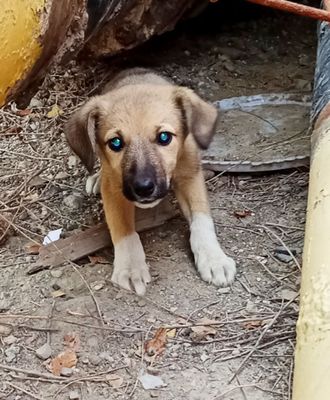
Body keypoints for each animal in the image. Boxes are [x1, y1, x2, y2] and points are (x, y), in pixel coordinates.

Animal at [65, 68, 235, 294]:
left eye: (164, 137)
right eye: (116, 143)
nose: (143, 188)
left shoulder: (190, 175)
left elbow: (202, 220)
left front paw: (214, 258)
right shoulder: (115, 188)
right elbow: (123, 228)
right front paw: (130, 267)